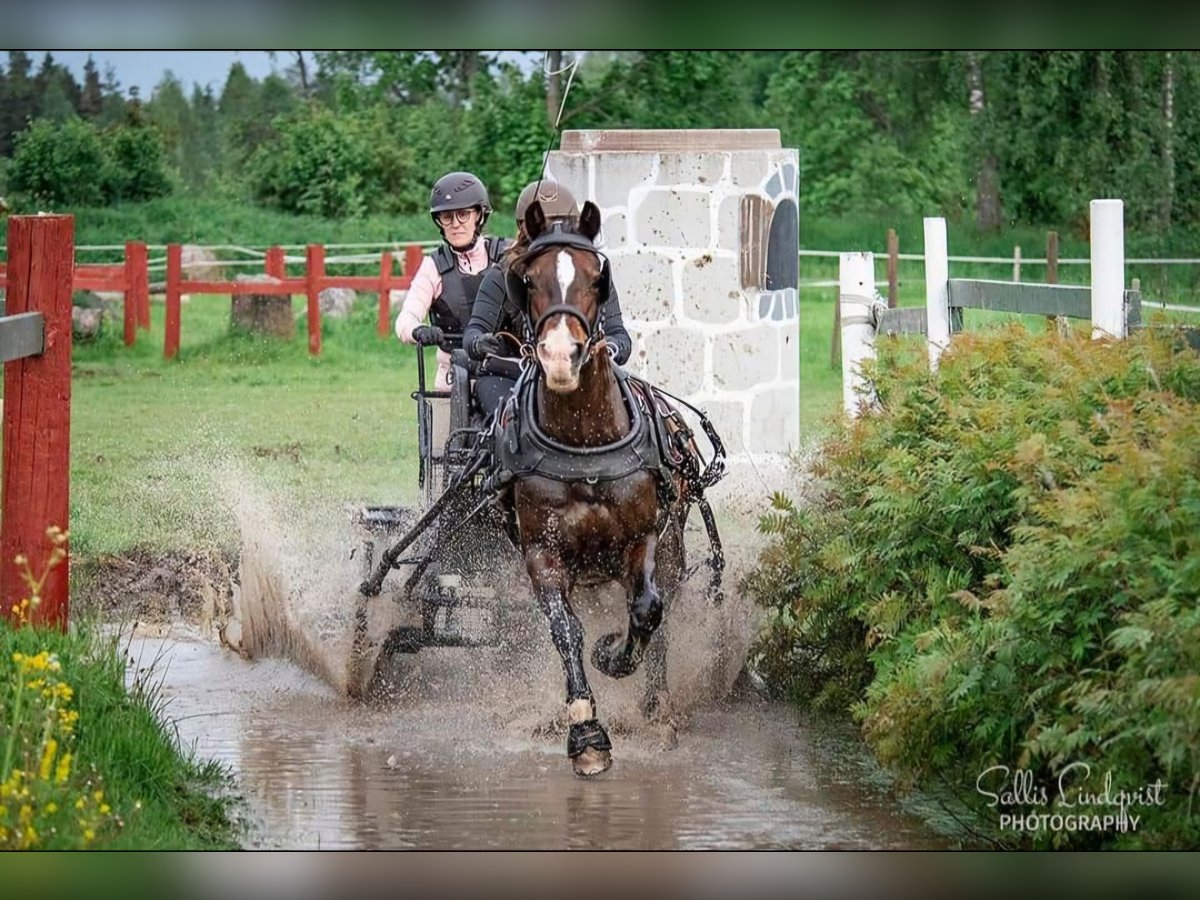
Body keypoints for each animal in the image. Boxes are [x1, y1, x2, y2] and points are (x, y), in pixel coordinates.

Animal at [499, 200, 696, 777]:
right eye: (528, 280)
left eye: (595, 278)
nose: (561, 355)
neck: (583, 443)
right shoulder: (542, 553)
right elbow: (566, 631)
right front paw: (586, 732)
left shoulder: (643, 538)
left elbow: (646, 610)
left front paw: (612, 655)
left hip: (672, 546)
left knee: (662, 610)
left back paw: (656, 706)